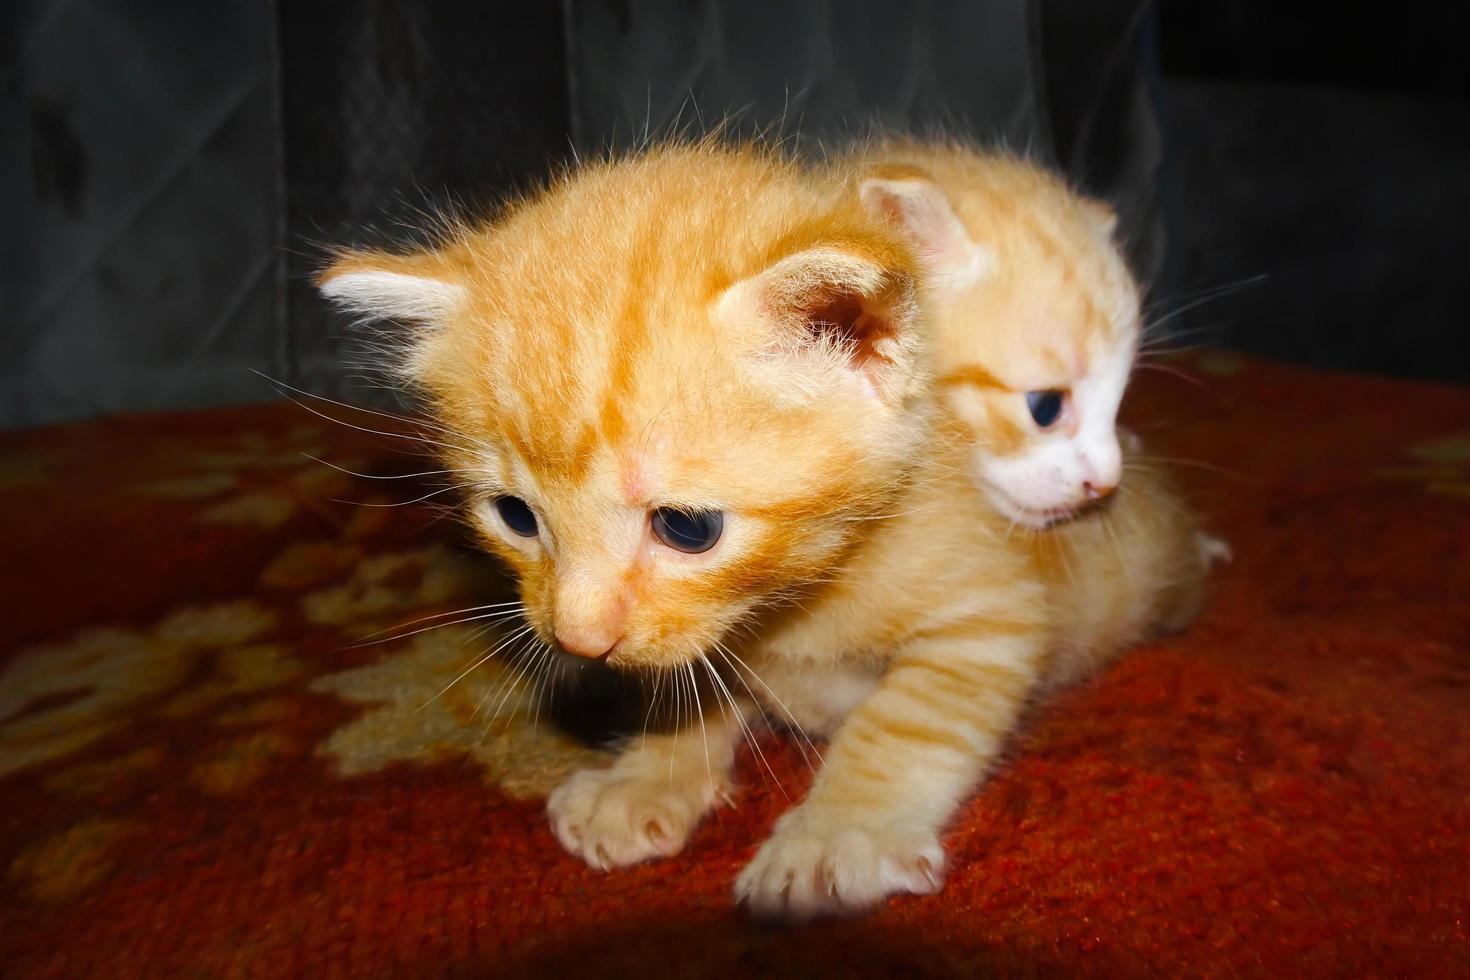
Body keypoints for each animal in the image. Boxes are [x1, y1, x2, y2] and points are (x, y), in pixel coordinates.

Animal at [321, 138, 1217, 922]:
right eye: (514, 517)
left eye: (686, 528)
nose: (577, 641)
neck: (801, 597)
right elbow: (688, 688)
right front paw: (648, 777)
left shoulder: (989, 618)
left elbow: (907, 724)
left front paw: (838, 836)